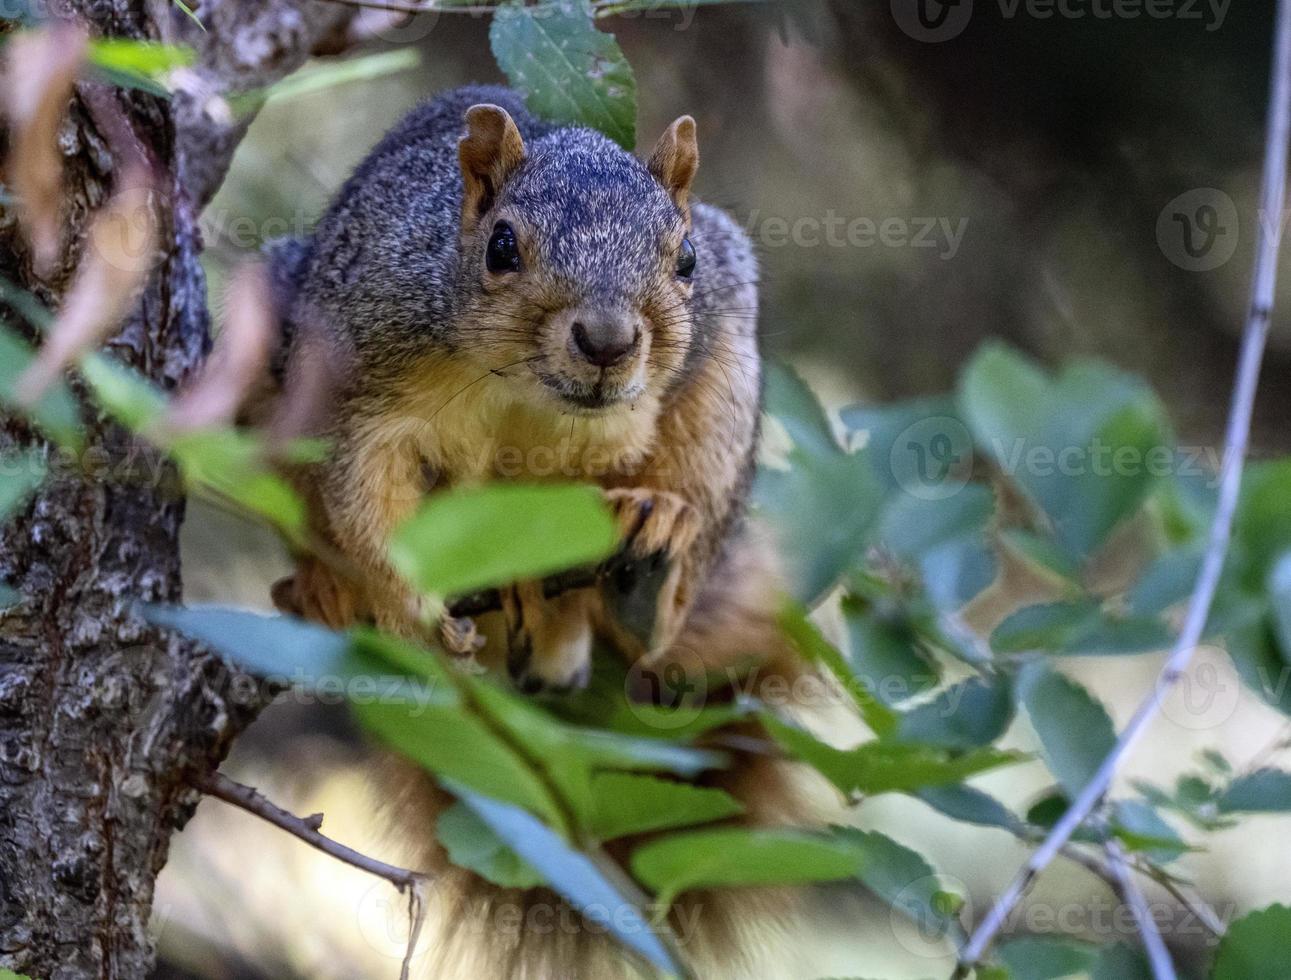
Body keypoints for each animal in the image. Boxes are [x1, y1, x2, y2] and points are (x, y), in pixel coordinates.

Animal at [262, 88, 826, 976]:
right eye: (501, 247)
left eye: (685, 261)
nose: (606, 343)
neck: (516, 387)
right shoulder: (355, 376)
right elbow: (365, 495)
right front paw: (408, 605)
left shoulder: (609, 433)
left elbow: (556, 513)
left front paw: (567, 577)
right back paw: (326, 590)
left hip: (723, 389)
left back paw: (633, 589)